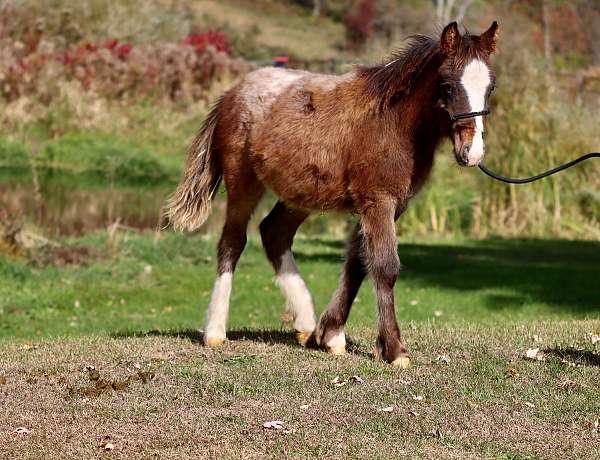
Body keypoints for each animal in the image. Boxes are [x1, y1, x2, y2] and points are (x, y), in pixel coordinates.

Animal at [166, 22, 500, 366]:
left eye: (490, 87)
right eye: (447, 86)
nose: (472, 153)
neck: (393, 123)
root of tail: (231, 93)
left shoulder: (388, 206)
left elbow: (357, 263)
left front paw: (331, 335)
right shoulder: (378, 201)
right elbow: (385, 266)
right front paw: (395, 350)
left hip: (301, 194)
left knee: (274, 233)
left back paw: (305, 323)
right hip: (243, 183)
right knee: (232, 242)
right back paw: (215, 331)